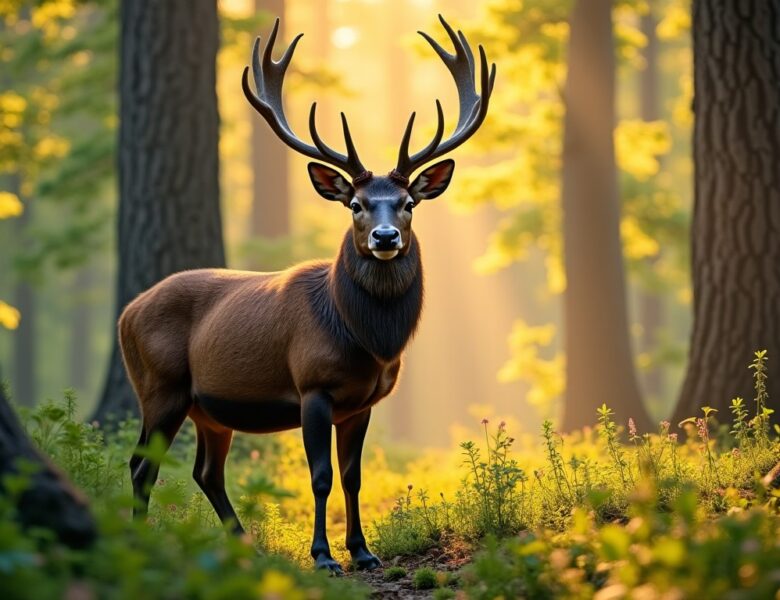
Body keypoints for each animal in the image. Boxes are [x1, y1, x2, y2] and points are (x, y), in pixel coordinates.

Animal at [123, 15, 494, 575]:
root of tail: (126, 314)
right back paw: (142, 544)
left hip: (207, 408)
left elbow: (353, 476)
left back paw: (245, 545)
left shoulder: (362, 402)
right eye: (356, 205)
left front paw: (363, 551)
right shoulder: (312, 386)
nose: (386, 237)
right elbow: (319, 476)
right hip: (159, 385)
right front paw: (323, 557)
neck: (367, 340)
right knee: (141, 464)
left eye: (408, 203)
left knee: (205, 471)